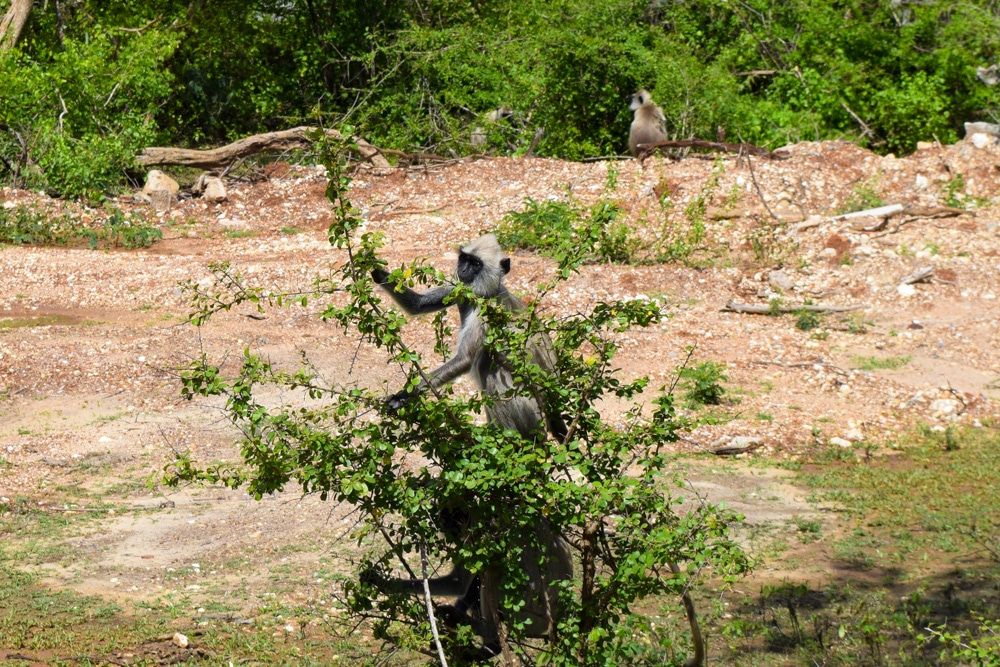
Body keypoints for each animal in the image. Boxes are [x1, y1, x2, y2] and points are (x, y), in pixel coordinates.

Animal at [368, 232, 572, 660]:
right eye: (465, 260)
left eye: (476, 264)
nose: (463, 269)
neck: (487, 293)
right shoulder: (462, 293)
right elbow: (417, 305)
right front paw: (374, 268)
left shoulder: (484, 312)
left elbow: (464, 360)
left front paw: (404, 397)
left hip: (526, 409)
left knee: (494, 367)